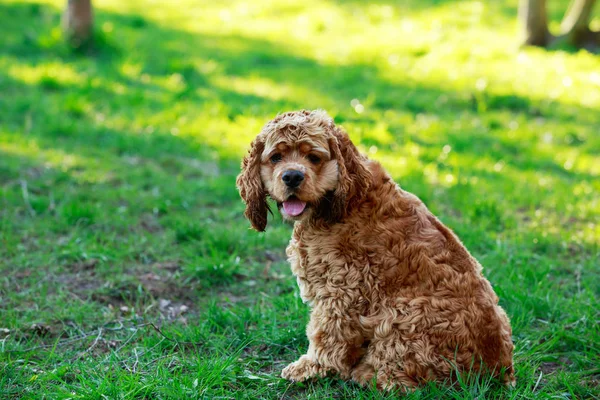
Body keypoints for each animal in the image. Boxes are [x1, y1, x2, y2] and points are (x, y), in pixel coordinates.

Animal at [237, 109, 512, 390]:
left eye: (314, 157)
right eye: (276, 157)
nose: (292, 176)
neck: (344, 198)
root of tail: (496, 372)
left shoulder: (342, 289)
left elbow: (326, 333)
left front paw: (312, 368)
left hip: (406, 312)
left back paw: (366, 373)